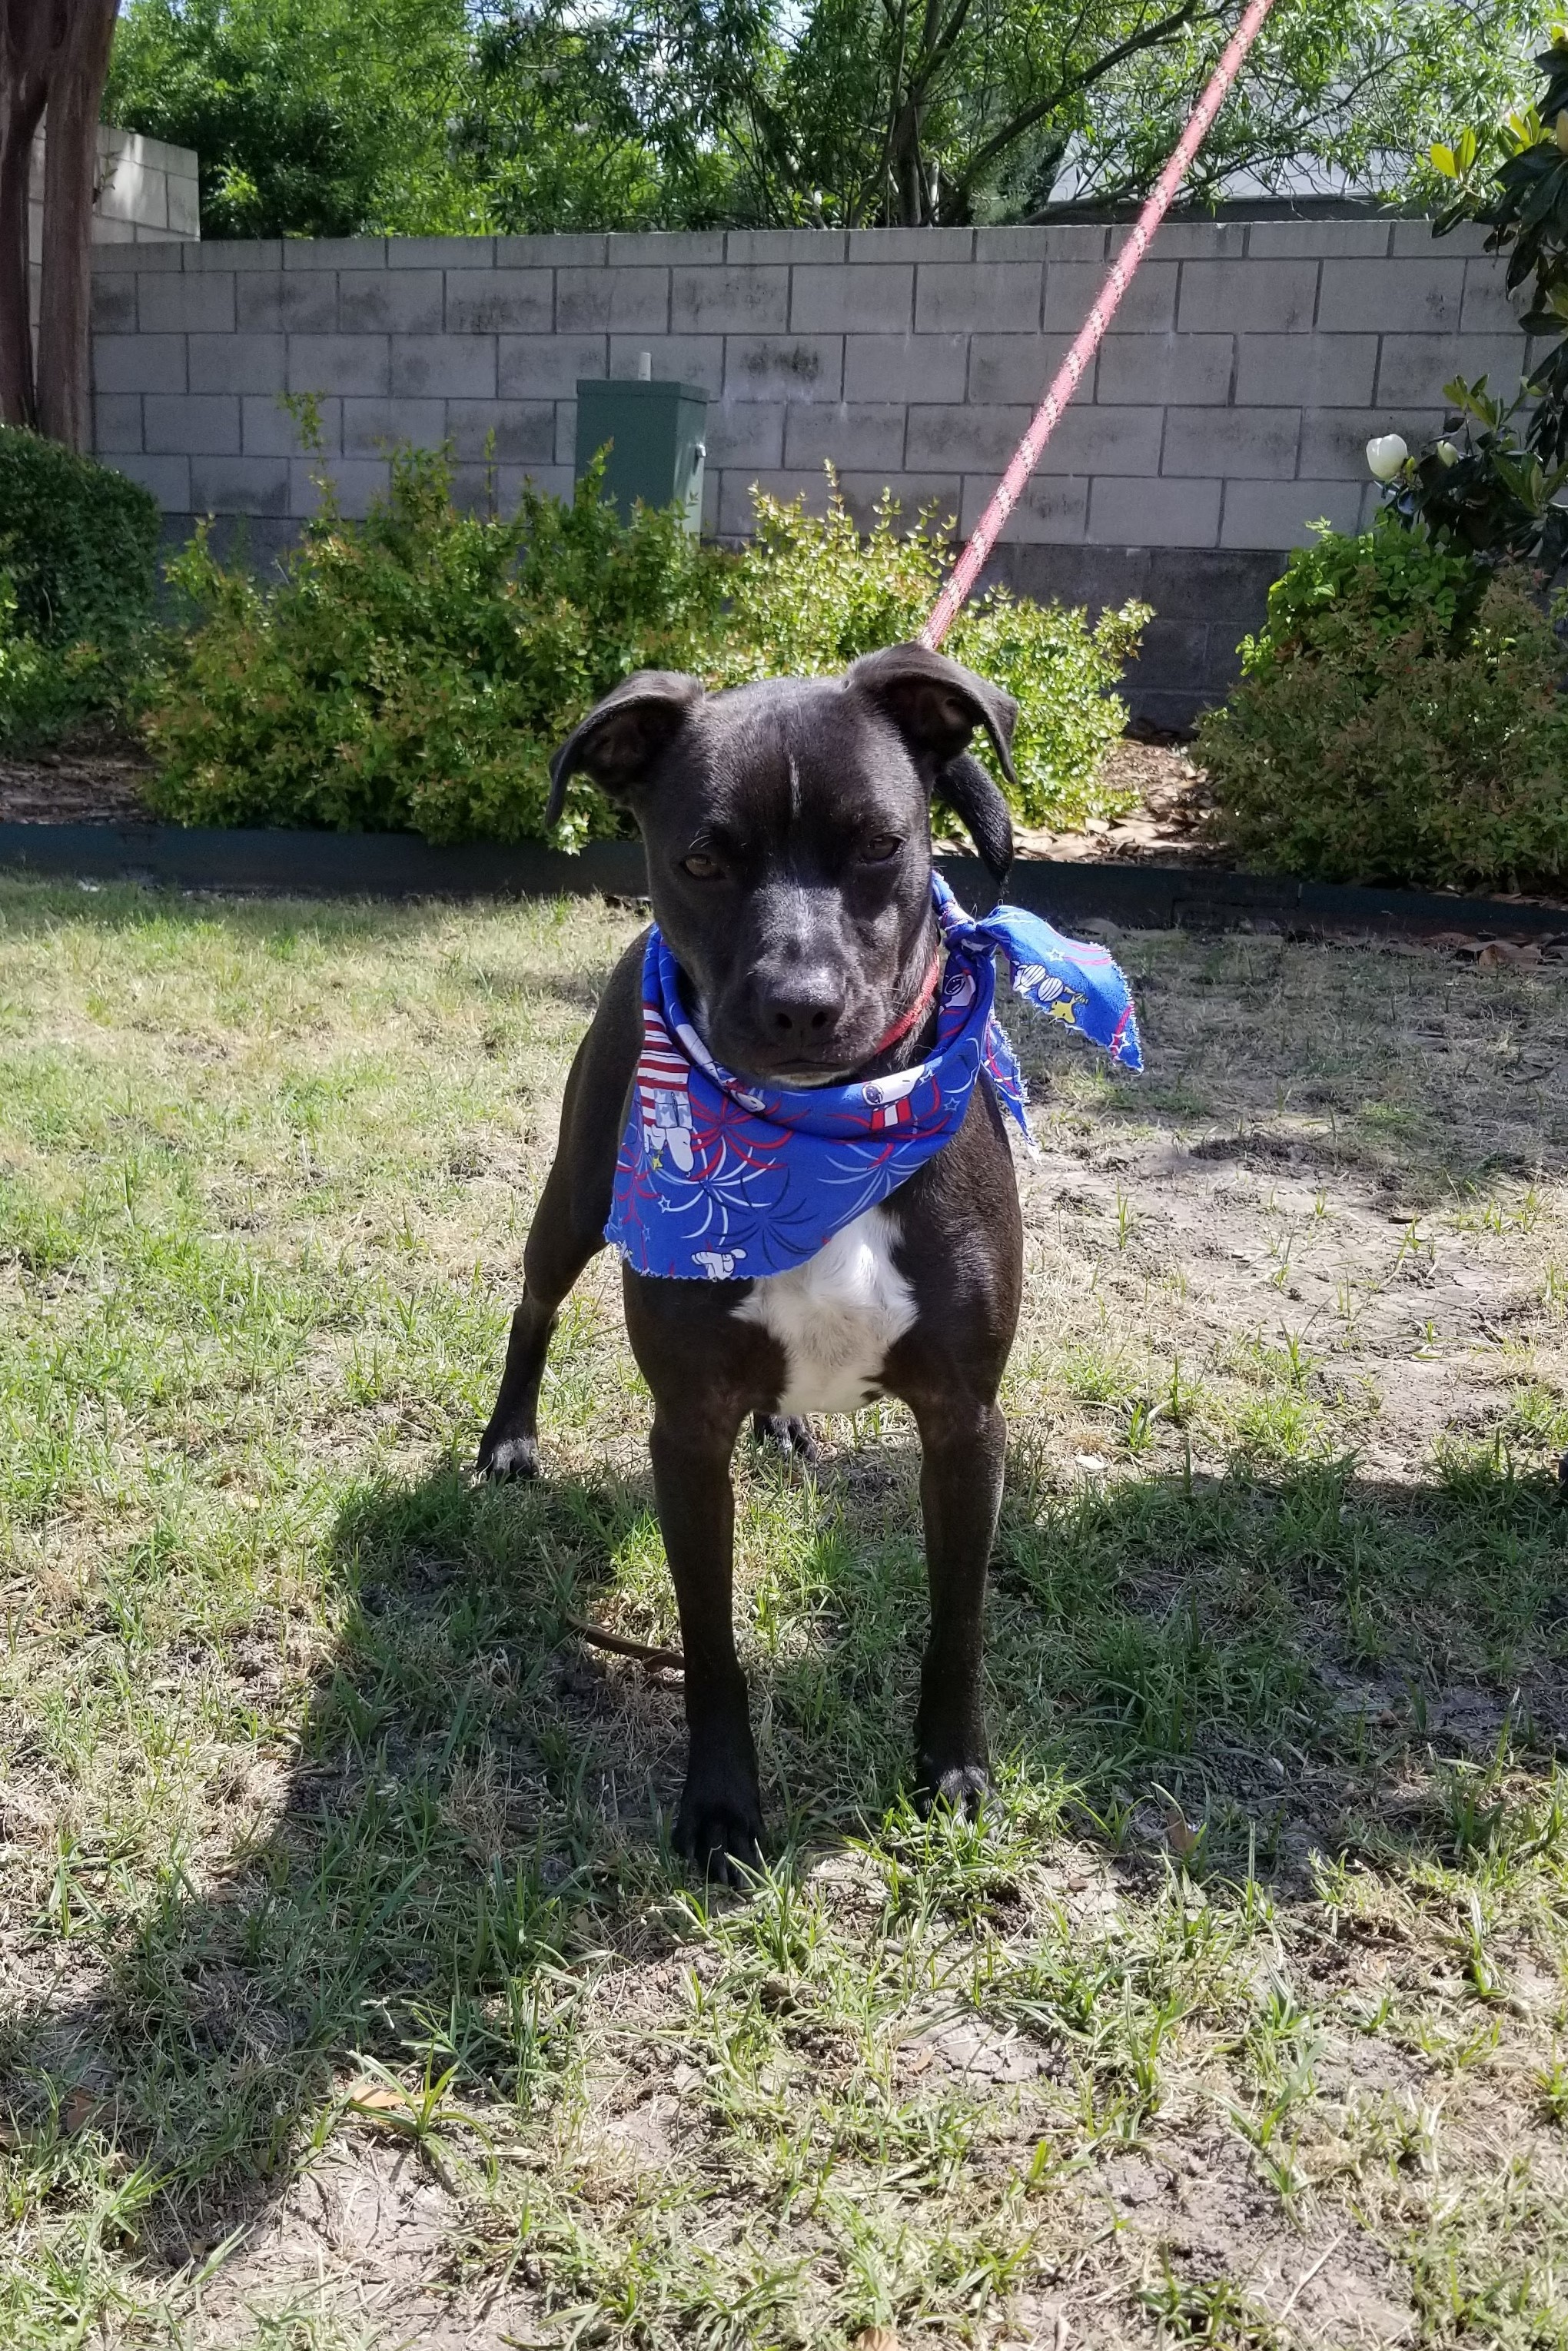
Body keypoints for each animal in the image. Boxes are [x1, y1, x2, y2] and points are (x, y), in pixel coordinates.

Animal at [479, 639, 1029, 1871]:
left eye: (880, 842)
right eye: (700, 858)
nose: (801, 1004)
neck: (815, 1136)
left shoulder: (965, 1418)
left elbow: (961, 1614)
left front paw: (953, 1768)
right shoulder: (686, 1430)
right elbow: (710, 1637)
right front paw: (723, 1804)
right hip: (576, 1195)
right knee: (534, 1304)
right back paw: (507, 1440)